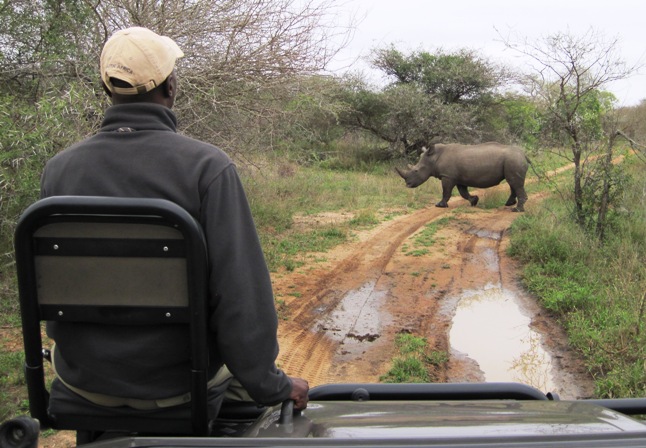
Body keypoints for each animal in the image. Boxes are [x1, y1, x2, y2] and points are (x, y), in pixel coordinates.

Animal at [396, 142, 529, 212]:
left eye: (416, 171)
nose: (407, 185)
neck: (433, 158)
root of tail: (524, 155)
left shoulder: (447, 176)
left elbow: (446, 191)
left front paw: (439, 205)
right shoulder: (458, 178)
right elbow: (463, 192)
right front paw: (474, 201)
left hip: (513, 160)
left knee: (514, 182)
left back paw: (517, 210)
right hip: (512, 161)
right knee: (512, 182)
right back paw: (509, 204)